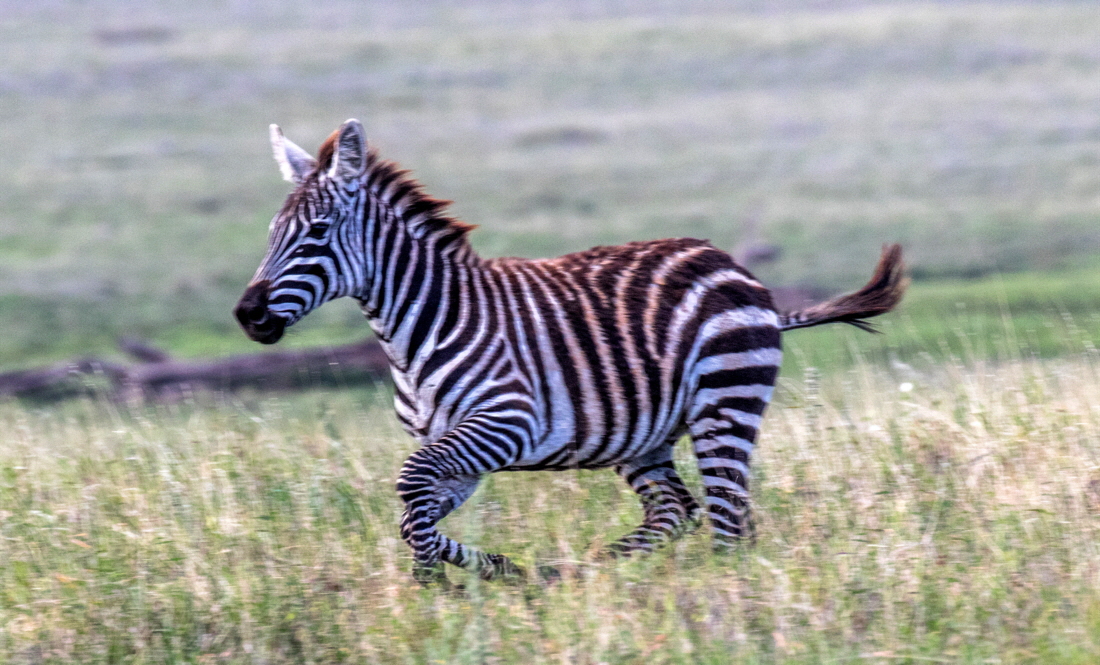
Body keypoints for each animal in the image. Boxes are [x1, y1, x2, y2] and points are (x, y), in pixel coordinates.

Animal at [235, 119, 906, 585]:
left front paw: (437, 584)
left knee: (728, 524)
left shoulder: (506, 422)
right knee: (677, 511)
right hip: (643, 435)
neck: (419, 328)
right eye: (271, 234)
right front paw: (494, 571)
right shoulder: (463, 454)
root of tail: (738, 269)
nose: (248, 315)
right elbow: (413, 509)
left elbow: (409, 487)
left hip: (725, 402)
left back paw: (722, 597)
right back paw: (579, 572)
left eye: (317, 233)